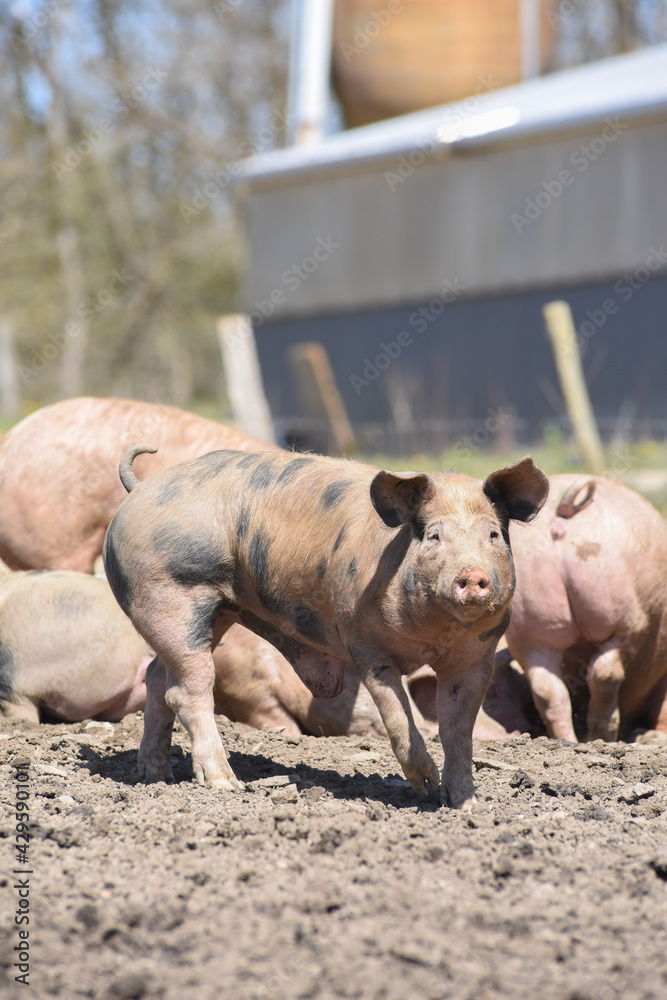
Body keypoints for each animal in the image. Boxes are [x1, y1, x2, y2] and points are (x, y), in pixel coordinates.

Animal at [103, 446, 548, 808]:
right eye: (434, 536)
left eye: (493, 534)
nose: (472, 574)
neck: (432, 637)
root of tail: (141, 488)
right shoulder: (366, 644)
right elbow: (397, 714)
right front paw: (425, 784)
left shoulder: (476, 656)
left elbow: (458, 729)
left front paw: (461, 803)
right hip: (169, 592)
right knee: (186, 689)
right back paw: (226, 784)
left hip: (220, 611)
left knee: (157, 675)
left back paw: (156, 776)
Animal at [506, 474, 667, 742]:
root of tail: (564, 511)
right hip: (624, 620)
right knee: (604, 672)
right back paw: (604, 737)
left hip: (528, 631)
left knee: (549, 690)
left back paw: (569, 741)